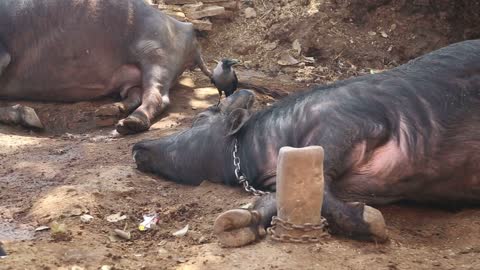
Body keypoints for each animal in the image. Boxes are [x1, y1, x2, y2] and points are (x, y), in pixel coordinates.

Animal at [132, 39, 480, 245]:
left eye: (200, 119)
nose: (138, 147)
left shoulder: (349, 124)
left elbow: (321, 184)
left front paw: (375, 223)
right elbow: (285, 198)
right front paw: (233, 224)